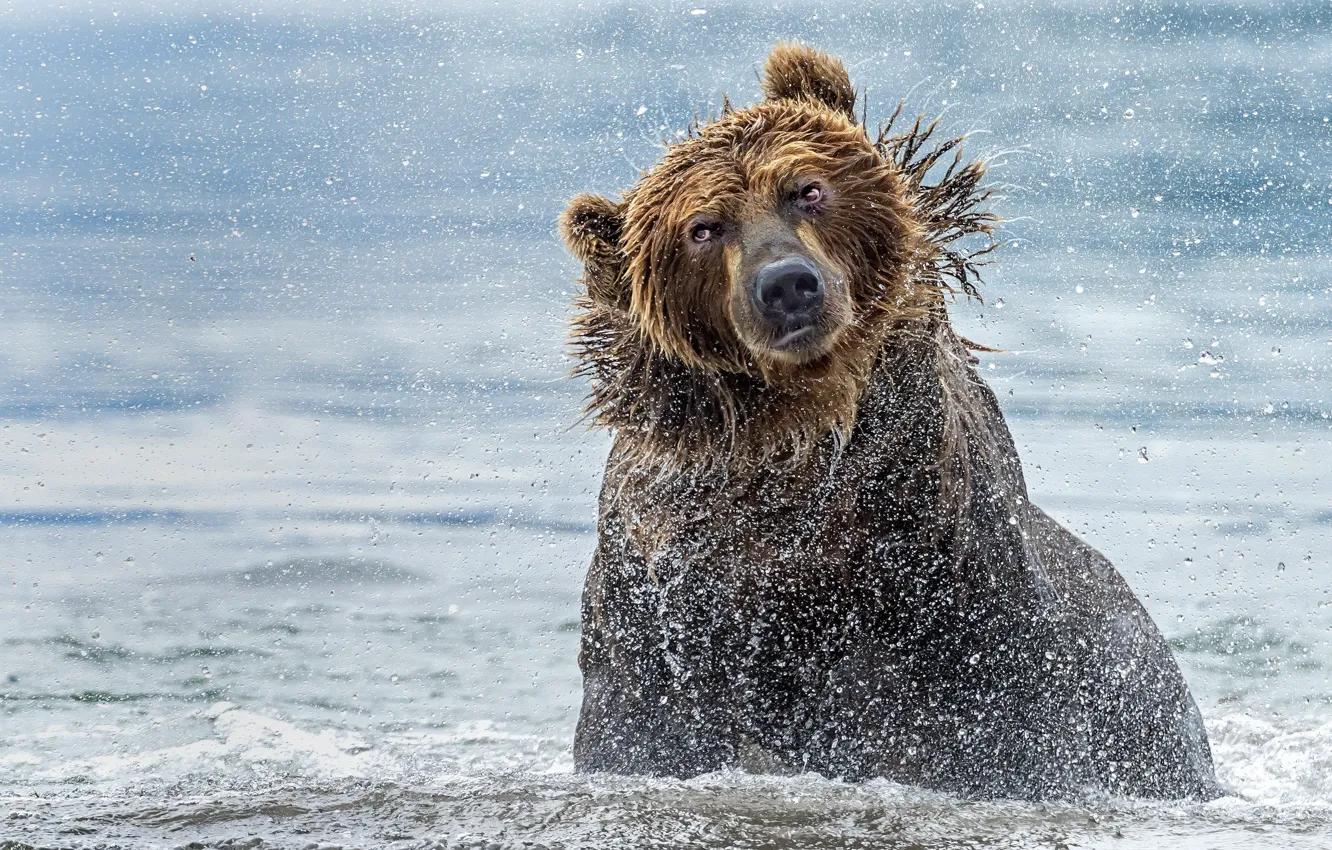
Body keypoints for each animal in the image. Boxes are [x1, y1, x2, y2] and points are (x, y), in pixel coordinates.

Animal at [556, 43, 1220, 804]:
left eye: (806, 188)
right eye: (703, 227)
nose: (787, 284)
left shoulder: (949, 619)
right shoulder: (658, 616)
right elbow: (641, 729)